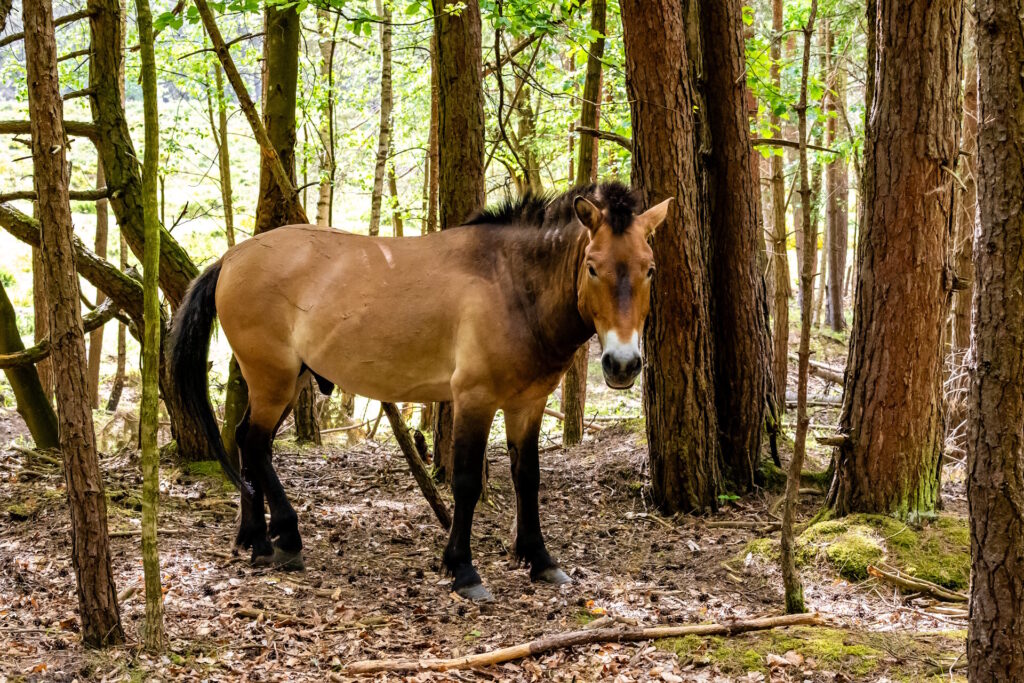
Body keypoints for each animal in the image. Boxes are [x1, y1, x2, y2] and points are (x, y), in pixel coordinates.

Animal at [169, 180, 671, 602]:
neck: (510, 284)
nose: (622, 364)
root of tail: (232, 258)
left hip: (286, 382)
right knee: (254, 444)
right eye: (592, 268)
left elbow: (527, 478)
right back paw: (281, 539)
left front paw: (540, 560)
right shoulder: (474, 400)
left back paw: (260, 540)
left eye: (649, 270)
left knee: (250, 443)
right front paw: (463, 570)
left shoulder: (527, 404)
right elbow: (467, 483)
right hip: (272, 379)